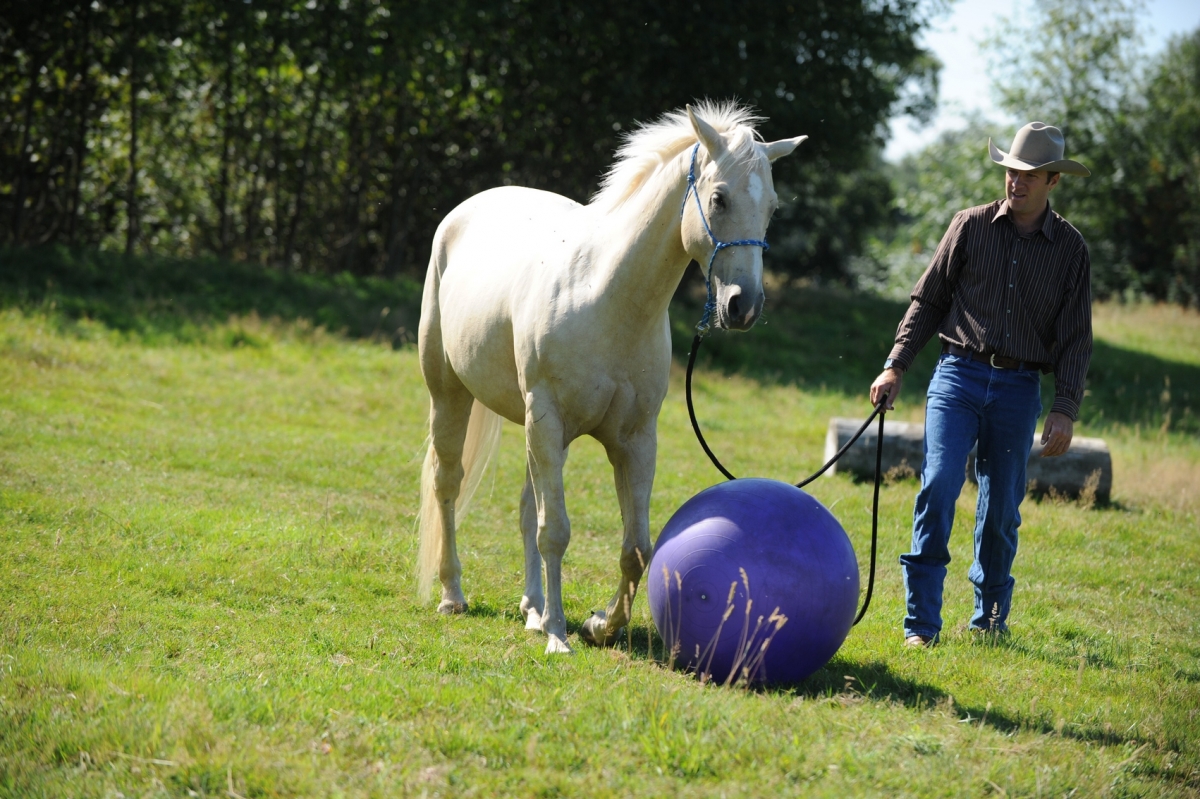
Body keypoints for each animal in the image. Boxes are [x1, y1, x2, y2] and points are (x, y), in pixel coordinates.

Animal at [416, 101, 806, 654]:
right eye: (719, 198)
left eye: (771, 207)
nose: (743, 306)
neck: (606, 294)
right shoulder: (548, 420)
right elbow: (555, 531)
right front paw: (559, 635)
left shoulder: (634, 439)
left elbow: (637, 547)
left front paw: (599, 624)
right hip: (453, 395)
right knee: (448, 483)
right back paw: (454, 594)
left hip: (537, 432)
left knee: (526, 506)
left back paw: (532, 609)